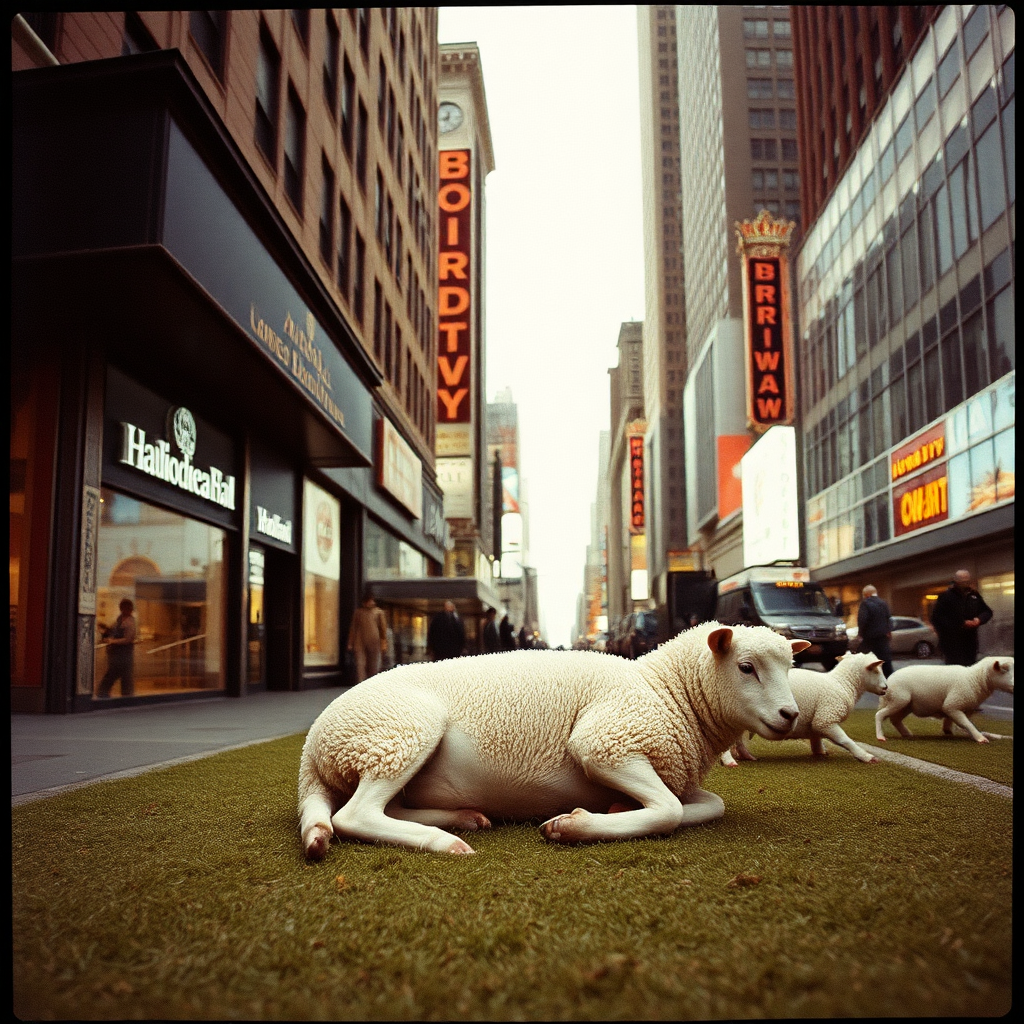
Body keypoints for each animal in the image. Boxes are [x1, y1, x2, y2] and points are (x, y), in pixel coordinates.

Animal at [294, 622, 806, 856]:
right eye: (746, 667)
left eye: (791, 666)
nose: (791, 715)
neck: (667, 691)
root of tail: (311, 748)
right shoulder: (607, 742)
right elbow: (668, 812)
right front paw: (573, 826)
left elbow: (708, 805)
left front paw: (615, 808)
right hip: (398, 732)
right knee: (353, 816)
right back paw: (444, 841)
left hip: (383, 747)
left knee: (382, 808)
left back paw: (462, 818)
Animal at [720, 651, 888, 765]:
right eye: (876, 670)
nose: (886, 688)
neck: (843, 683)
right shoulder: (826, 718)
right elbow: (845, 740)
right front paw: (866, 756)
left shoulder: (817, 722)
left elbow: (816, 739)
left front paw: (820, 752)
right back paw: (729, 761)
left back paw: (746, 756)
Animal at [872, 655, 1015, 745]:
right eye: (1005, 670)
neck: (975, 679)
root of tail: (888, 681)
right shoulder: (953, 704)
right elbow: (966, 723)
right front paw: (980, 738)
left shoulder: (962, 708)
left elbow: (957, 721)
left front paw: (948, 731)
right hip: (899, 699)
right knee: (880, 714)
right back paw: (880, 736)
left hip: (906, 705)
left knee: (895, 720)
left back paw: (907, 733)